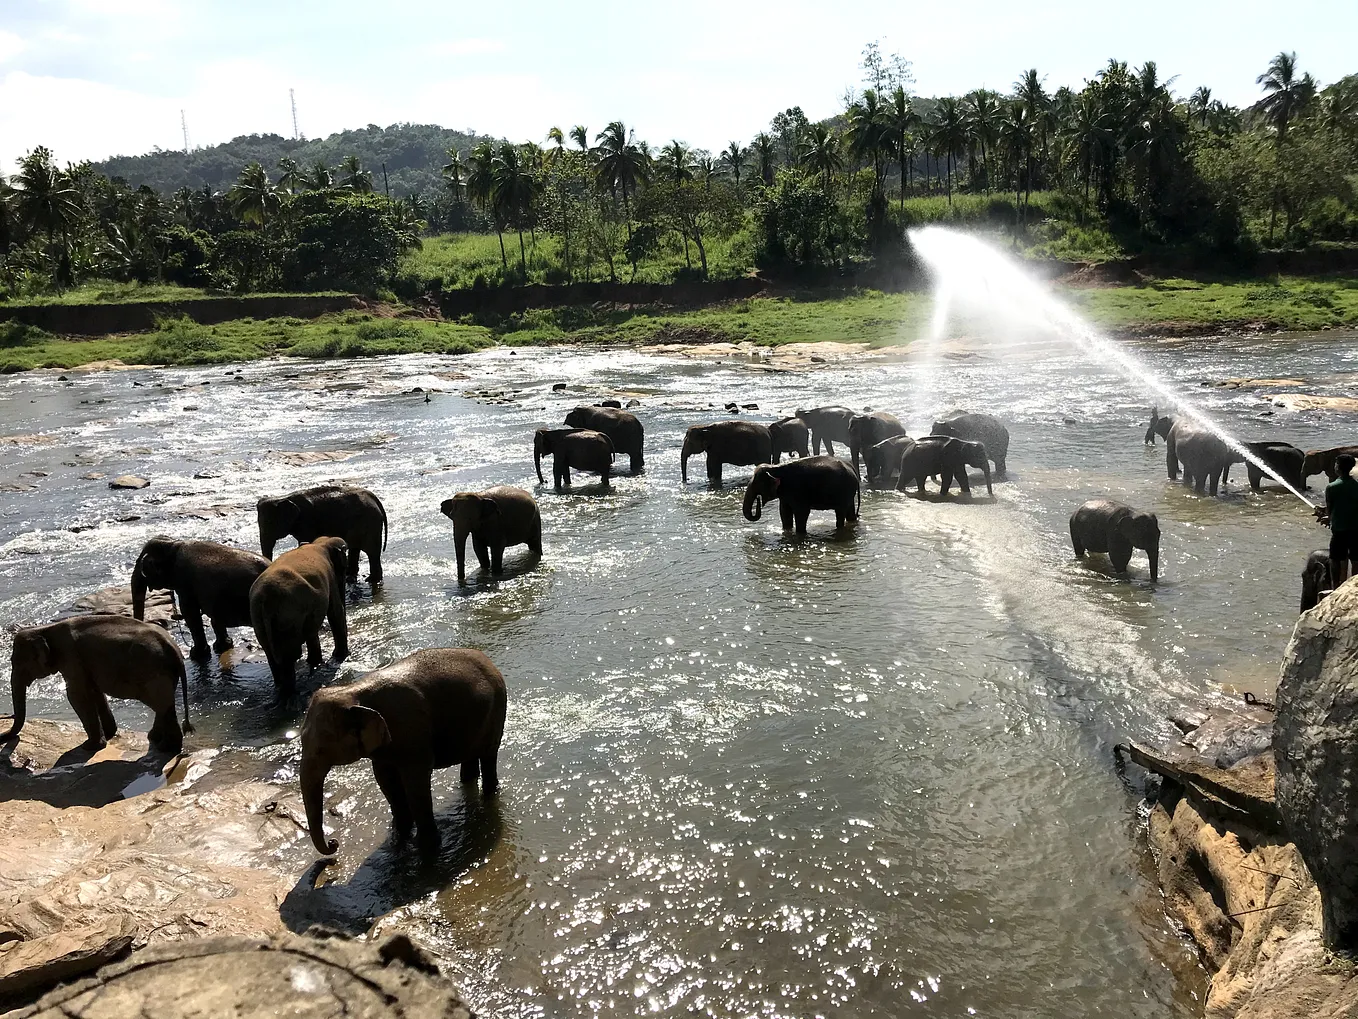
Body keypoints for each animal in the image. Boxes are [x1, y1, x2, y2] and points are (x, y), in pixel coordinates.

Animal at [3, 614, 194, 760]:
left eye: (17, 663)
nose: (3, 735)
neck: (44, 628)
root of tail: (175, 649)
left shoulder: (71, 657)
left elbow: (76, 695)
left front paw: (89, 746)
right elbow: (94, 691)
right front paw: (109, 734)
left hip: (154, 672)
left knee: (162, 705)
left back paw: (166, 748)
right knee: (163, 705)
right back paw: (155, 739)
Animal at [132, 538, 270, 657]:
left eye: (141, 565)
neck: (173, 544)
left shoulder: (185, 583)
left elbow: (189, 613)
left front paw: (195, 654)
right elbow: (213, 618)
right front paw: (222, 646)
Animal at [248, 535, 350, 695]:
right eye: (344, 567)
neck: (320, 543)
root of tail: (265, 599)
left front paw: (316, 662)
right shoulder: (331, 577)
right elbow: (335, 611)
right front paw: (341, 656)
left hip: (258, 619)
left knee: (272, 655)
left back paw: (281, 688)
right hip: (288, 617)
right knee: (288, 656)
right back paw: (290, 694)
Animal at [256, 483, 391, 581]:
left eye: (269, 522)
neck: (283, 497)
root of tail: (374, 498)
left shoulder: (307, 521)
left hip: (369, 522)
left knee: (371, 552)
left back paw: (372, 580)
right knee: (356, 548)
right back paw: (351, 576)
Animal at [300, 649, 507, 858]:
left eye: (320, 750)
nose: (334, 843)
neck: (353, 691)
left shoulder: (413, 731)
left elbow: (415, 783)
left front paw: (428, 847)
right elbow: (385, 780)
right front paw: (400, 833)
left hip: (497, 710)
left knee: (489, 756)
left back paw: (489, 796)